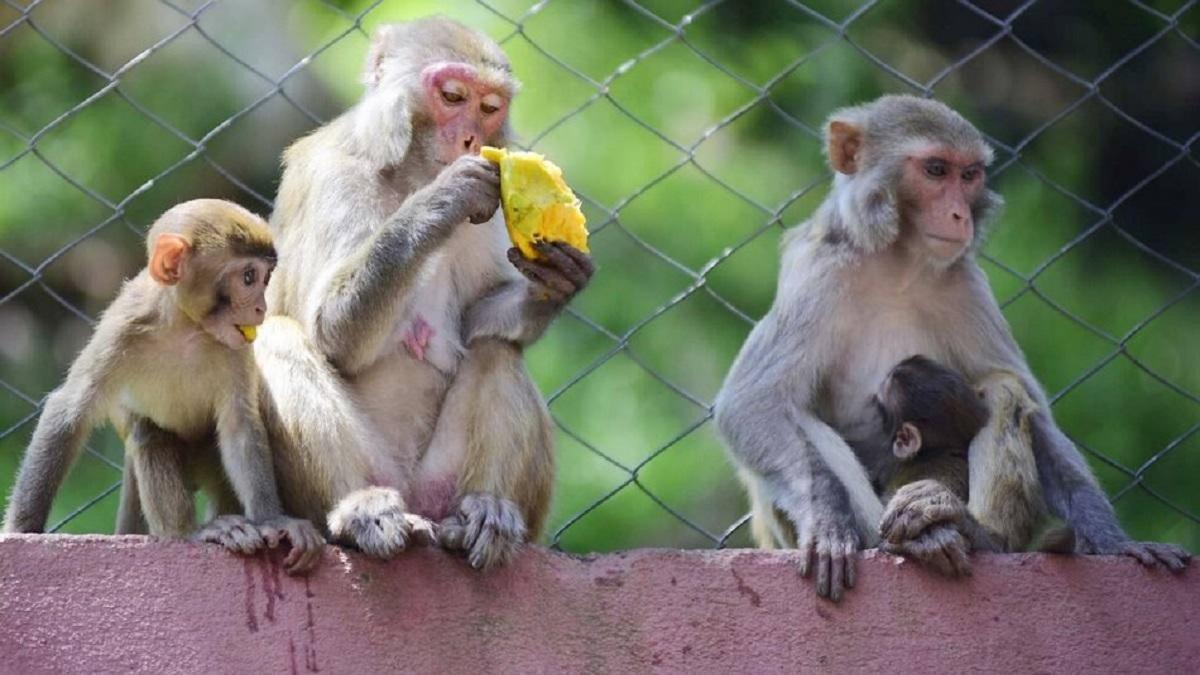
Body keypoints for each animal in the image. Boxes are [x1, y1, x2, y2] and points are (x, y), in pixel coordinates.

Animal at [2, 199, 324, 575]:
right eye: (248, 277)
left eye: (266, 277)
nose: (261, 307)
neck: (185, 326)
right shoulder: (123, 328)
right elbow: (70, 410)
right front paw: (21, 531)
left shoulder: (236, 348)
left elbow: (240, 426)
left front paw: (272, 520)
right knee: (149, 434)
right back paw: (189, 532)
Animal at [250, 17, 592, 570]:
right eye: (452, 96)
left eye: (490, 107)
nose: (472, 137)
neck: (408, 172)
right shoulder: (335, 179)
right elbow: (330, 333)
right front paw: (441, 200)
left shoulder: (489, 212)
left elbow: (476, 322)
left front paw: (555, 283)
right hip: (352, 484)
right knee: (278, 336)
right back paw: (362, 510)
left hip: (444, 485)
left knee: (496, 351)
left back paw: (484, 513)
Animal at [715, 94, 1190, 601]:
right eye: (936, 170)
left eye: (969, 175)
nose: (960, 214)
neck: (898, 265)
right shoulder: (819, 275)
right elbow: (751, 403)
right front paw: (828, 522)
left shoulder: (965, 282)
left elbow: (1031, 405)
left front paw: (1113, 541)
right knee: (798, 417)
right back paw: (900, 541)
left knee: (1002, 390)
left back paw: (976, 534)